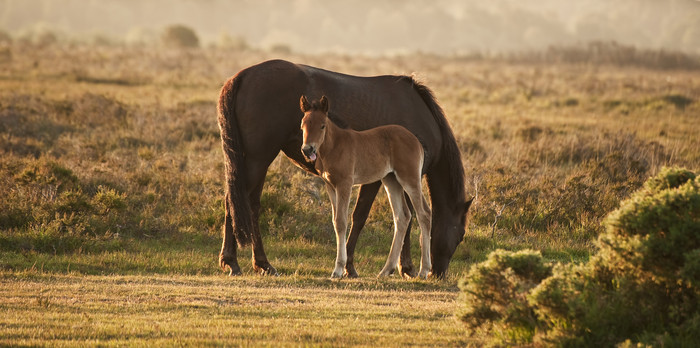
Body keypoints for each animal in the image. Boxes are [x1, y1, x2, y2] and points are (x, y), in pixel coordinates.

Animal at [300, 96, 432, 280]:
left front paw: (338, 269)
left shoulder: (345, 184)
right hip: (391, 180)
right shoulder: (330, 186)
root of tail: (416, 141)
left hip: (409, 179)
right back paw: (386, 270)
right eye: (303, 124)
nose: (307, 149)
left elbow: (341, 221)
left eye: (322, 125)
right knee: (402, 217)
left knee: (423, 213)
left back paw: (424, 270)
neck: (334, 146)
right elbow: (334, 221)